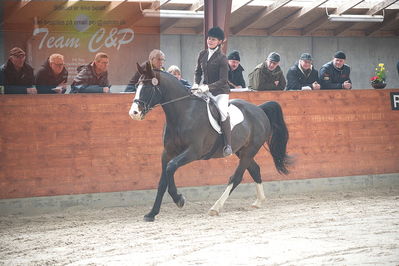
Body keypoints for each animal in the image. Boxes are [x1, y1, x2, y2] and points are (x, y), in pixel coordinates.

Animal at [130, 61, 290, 221]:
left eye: (148, 87)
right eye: (136, 86)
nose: (134, 113)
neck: (184, 113)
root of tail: (259, 109)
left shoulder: (193, 152)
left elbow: (171, 167)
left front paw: (179, 199)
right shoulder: (167, 152)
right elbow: (162, 181)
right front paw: (152, 213)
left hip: (249, 151)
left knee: (236, 177)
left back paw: (216, 207)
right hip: (242, 151)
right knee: (255, 170)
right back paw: (258, 201)